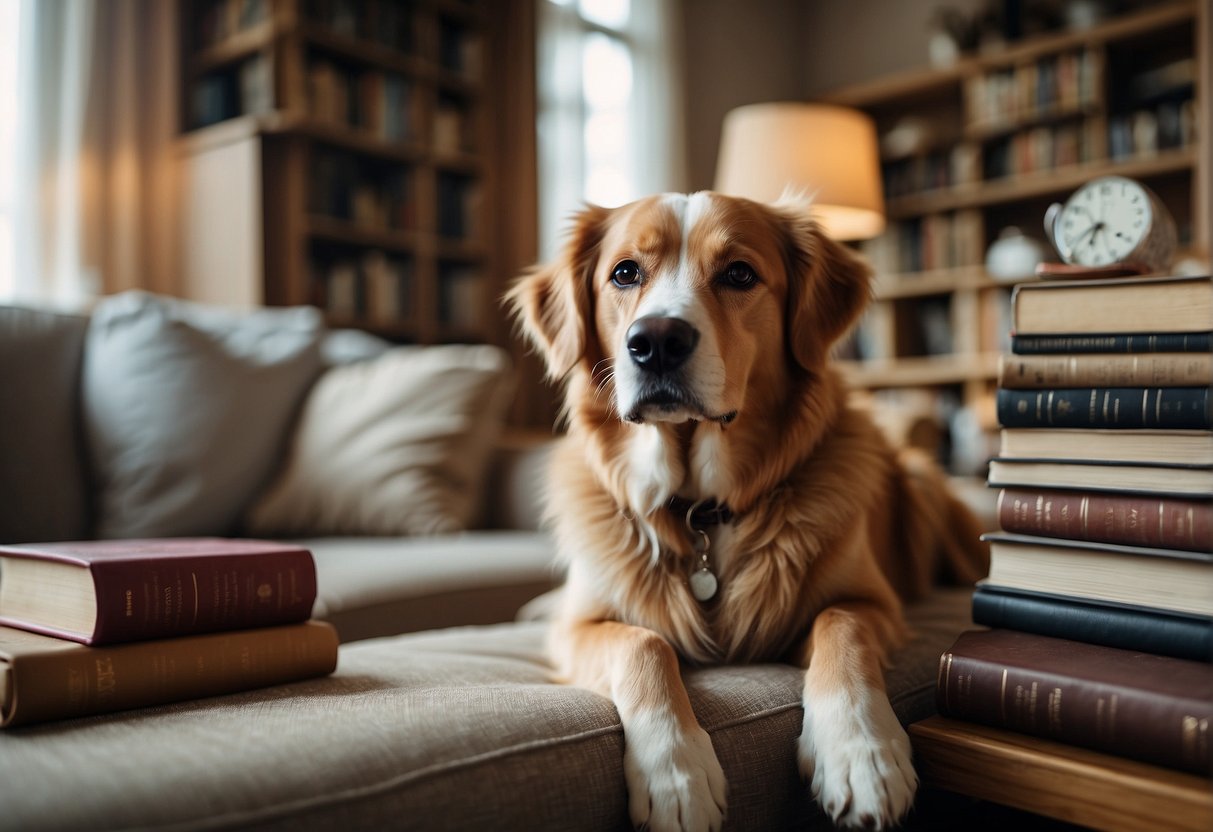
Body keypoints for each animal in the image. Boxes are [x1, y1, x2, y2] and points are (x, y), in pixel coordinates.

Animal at [502, 194, 984, 832]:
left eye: (739, 274)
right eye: (624, 273)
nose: (655, 341)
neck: (702, 510)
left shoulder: (871, 602)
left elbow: (842, 627)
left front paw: (861, 754)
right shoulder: (580, 626)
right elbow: (645, 644)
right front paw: (676, 774)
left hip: (923, 480)